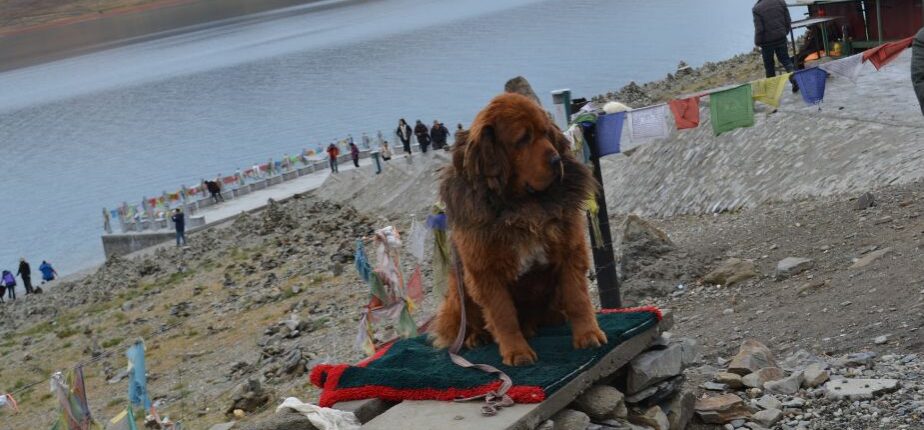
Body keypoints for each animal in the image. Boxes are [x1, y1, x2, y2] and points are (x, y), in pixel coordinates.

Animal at [434, 92, 608, 364]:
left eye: (546, 133)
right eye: (523, 139)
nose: (556, 160)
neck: (521, 206)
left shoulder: (570, 250)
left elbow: (578, 298)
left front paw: (588, 335)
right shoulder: (485, 270)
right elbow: (503, 315)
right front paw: (517, 351)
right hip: (458, 289)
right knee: (468, 321)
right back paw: (475, 337)